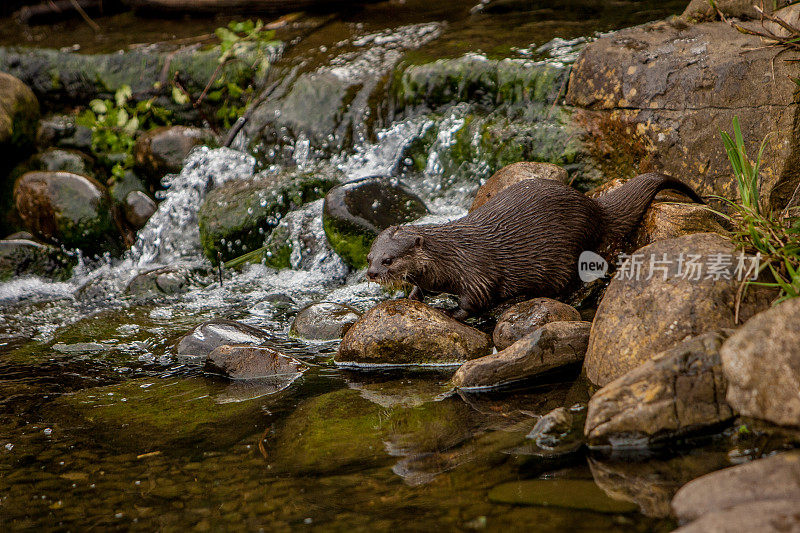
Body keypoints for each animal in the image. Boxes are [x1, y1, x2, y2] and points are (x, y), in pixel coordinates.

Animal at [366, 172, 704, 318]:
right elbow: (420, 289)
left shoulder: (475, 272)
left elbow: (475, 300)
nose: (370, 273)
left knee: (568, 284)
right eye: (370, 257)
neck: (448, 257)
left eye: (388, 260)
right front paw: (412, 297)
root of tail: (595, 208)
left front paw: (452, 313)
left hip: (565, 251)